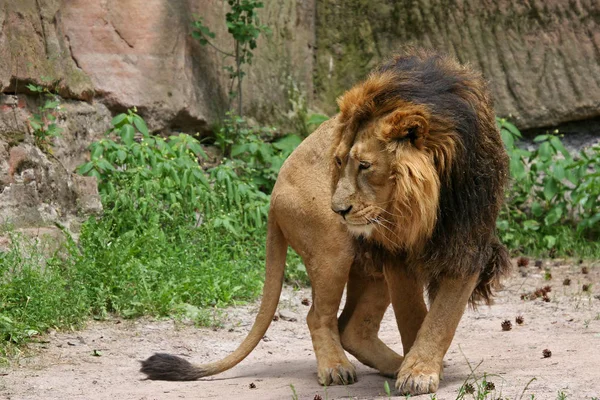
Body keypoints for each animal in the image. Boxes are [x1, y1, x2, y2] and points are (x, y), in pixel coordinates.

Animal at [141, 48, 510, 396]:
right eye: (338, 161)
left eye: (364, 165)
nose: (338, 209)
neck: (426, 204)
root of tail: (274, 194)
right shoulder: (396, 253)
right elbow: (415, 317)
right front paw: (418, 370)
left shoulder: (467, 241)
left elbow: (442, 316)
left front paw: (417, 368)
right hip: (333, 251)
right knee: (319, 315)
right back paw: (338, 369)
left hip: (368, 263)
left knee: (353, 328)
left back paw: (393, 365)